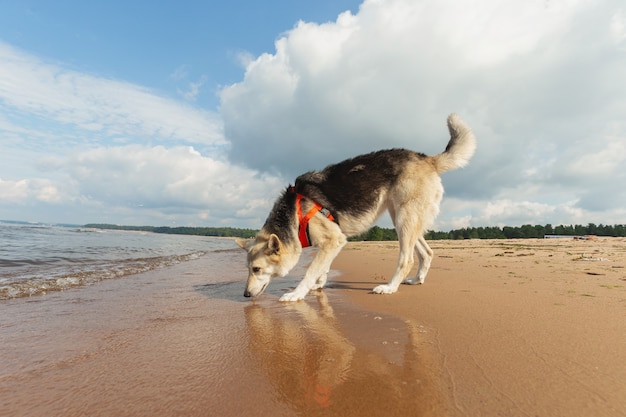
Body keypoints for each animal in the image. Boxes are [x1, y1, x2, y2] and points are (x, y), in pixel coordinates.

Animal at [236, 114, 476, 300]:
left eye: (256, 269)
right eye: (247, 269)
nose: (245, 295)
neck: (294, 214)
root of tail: (428, 159)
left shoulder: (334, 240)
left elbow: (311, 271)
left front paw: (297, 294)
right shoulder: (330, 246)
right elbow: (322, 268)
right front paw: (319, 284)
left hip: (404, 220)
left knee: (406, 259)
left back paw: (389, 287)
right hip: (403, 219)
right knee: (427, 252)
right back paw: (417, 280)